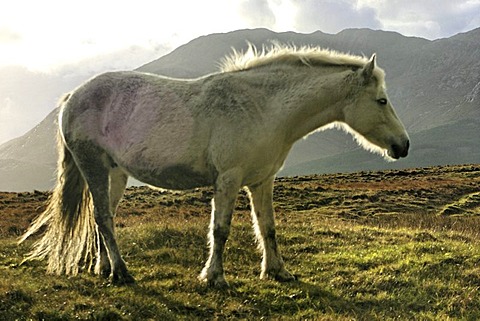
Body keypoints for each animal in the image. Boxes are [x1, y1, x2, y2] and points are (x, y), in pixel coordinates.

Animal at [19, 43, 408, 286]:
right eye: (381, 100)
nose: (402, 145)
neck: (263, 107)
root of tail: (73, 96)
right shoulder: (228, 180)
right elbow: (220, 230)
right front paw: (214, 277)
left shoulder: (262, 181)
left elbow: (268, 228)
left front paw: (277, 271)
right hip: (95, 169)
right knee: (102, 218)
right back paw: (123, 273)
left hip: (115, 174)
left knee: (105, 218)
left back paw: (106, 269)